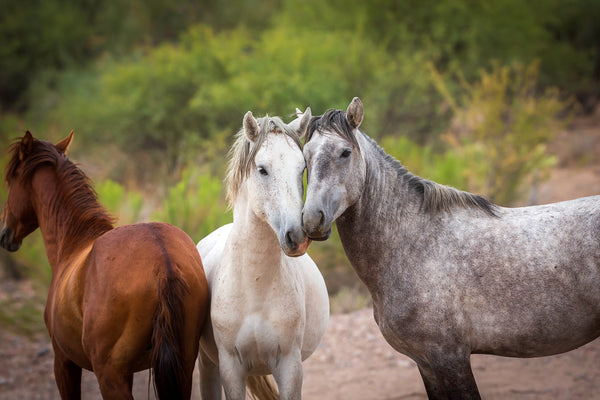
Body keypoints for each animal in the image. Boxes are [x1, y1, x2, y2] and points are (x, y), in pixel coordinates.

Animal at [0, 130, 210, 396]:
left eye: (10, 180)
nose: (4, 232)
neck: (74, 242)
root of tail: (164, 262)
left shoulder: (64, 362)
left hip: (109, 375)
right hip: (181, 368)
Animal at [197, 110, 328, 400]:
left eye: (302, 168)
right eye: (262, 169)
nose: (297, 236)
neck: (254, 286)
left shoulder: (290, 365)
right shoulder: (230, 367)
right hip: (207, 365)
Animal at [302, 97, 600, 400]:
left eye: (345, 152)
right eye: (305, 157)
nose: (312, 219)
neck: (415, 243)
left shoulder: (450, 358)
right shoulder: (426, 363)